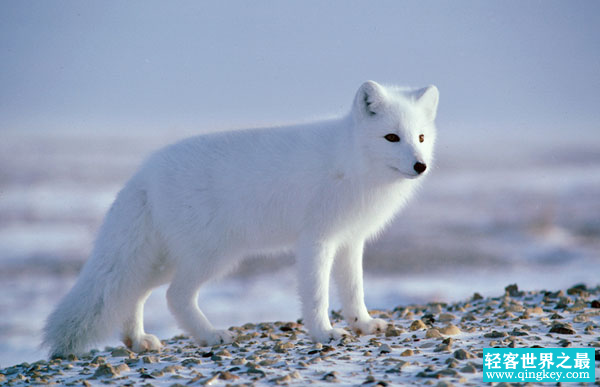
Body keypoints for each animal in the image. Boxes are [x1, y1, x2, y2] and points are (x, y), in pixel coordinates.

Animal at [41, 81, 436, 358]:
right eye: (391, 137)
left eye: (420, 137)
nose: (420, 165)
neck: (352, 164)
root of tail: (144, 173)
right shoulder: (316, 240)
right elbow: (317, 294)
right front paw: (324, 333)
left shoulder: (350, 240)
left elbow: (354, 289)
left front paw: (363, 324)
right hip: (212, 256)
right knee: (174, 296)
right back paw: (210, 335)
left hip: (167, 259)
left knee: (134, 292)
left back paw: (137, 341)